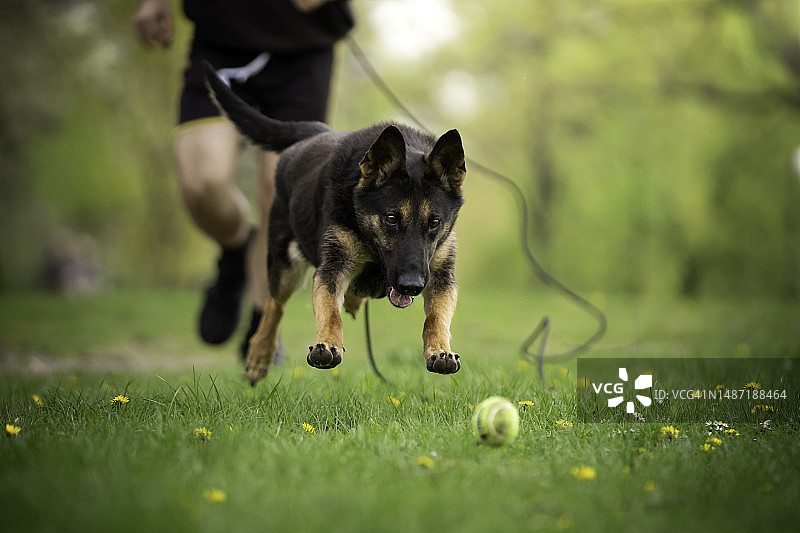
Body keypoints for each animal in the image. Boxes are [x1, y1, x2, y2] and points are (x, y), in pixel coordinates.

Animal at [203, 64, 466, 384]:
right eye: (391, 219)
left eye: (435, 222)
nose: (412, 286)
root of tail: (317, 131)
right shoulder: (332, 268)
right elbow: (329, 310)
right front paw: (327, 343)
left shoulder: (440, 276)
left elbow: (436, 317)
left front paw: (440, 350)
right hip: (286, 265)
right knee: (274, 306)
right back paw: (260, 355)